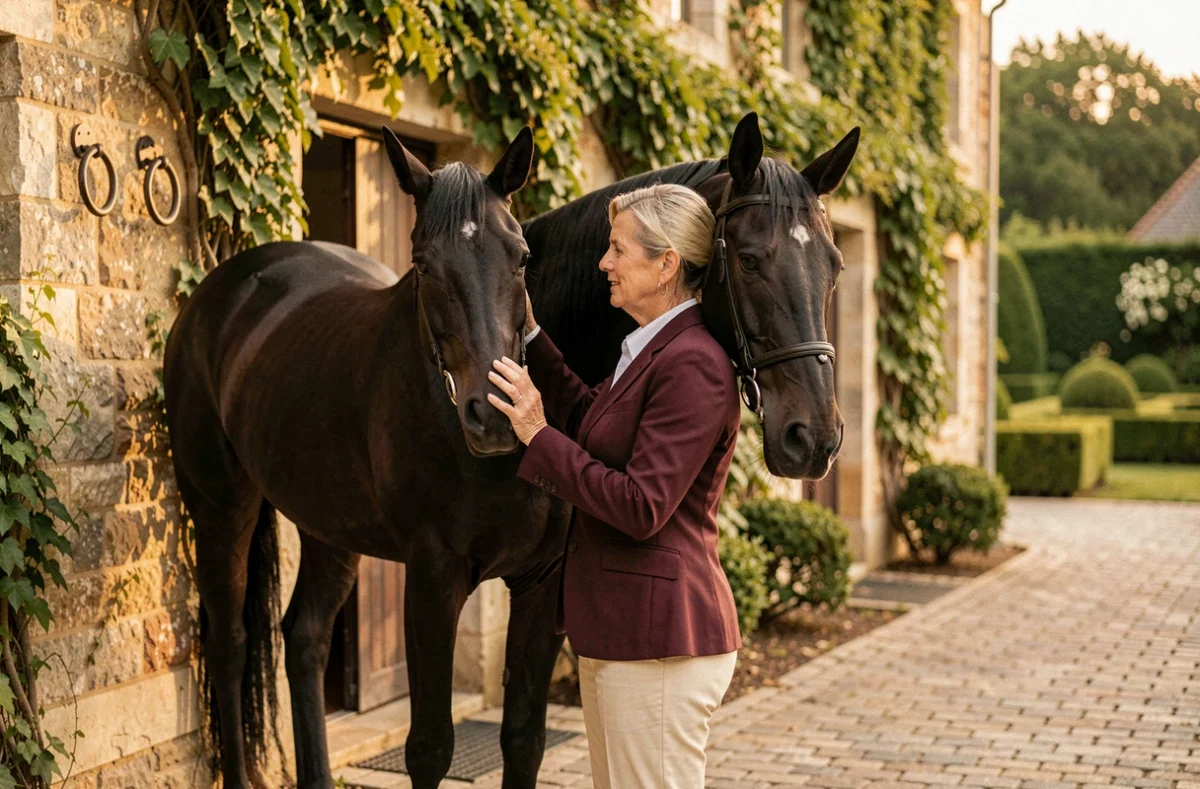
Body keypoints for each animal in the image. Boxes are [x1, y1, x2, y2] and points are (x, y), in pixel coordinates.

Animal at [165, 111, 859, 789]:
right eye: (749, 260)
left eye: (834, 265)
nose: (814, 437)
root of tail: (221, 292)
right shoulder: (433, 577)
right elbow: (430, 749)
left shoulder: (542, 581)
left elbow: (523, 737)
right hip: (222, 507)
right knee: (229, 642)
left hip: (329, 523)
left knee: (304, 637)